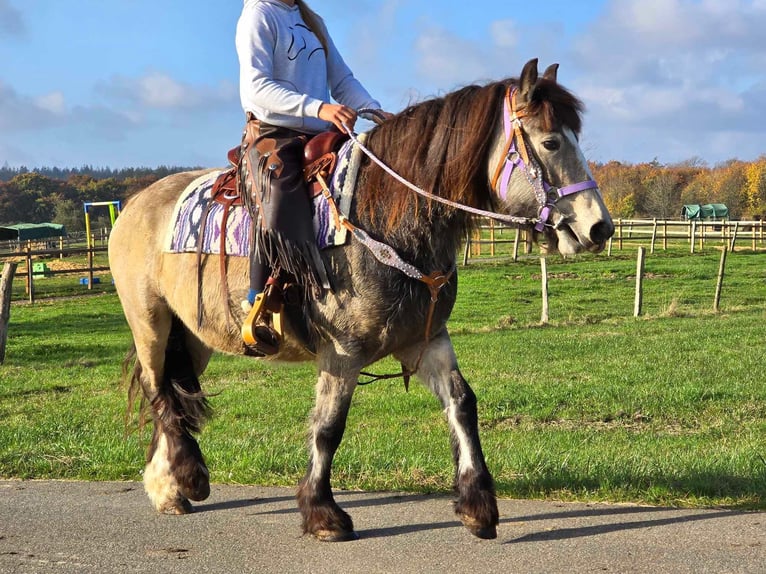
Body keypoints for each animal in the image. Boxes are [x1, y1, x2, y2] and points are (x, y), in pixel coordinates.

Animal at [108, 59, 616, 544]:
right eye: (551, 142)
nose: (600, 228)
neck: (387, 218)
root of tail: (135, 203)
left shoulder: (425, 340)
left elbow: (462, 404)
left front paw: (478, 507)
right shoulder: (342, 354)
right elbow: (329, 426)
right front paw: (323, 514)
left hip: (194, 336)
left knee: (177, 393)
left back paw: (167, 486)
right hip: (151, 323)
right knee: (159, 390)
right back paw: (188, 479)